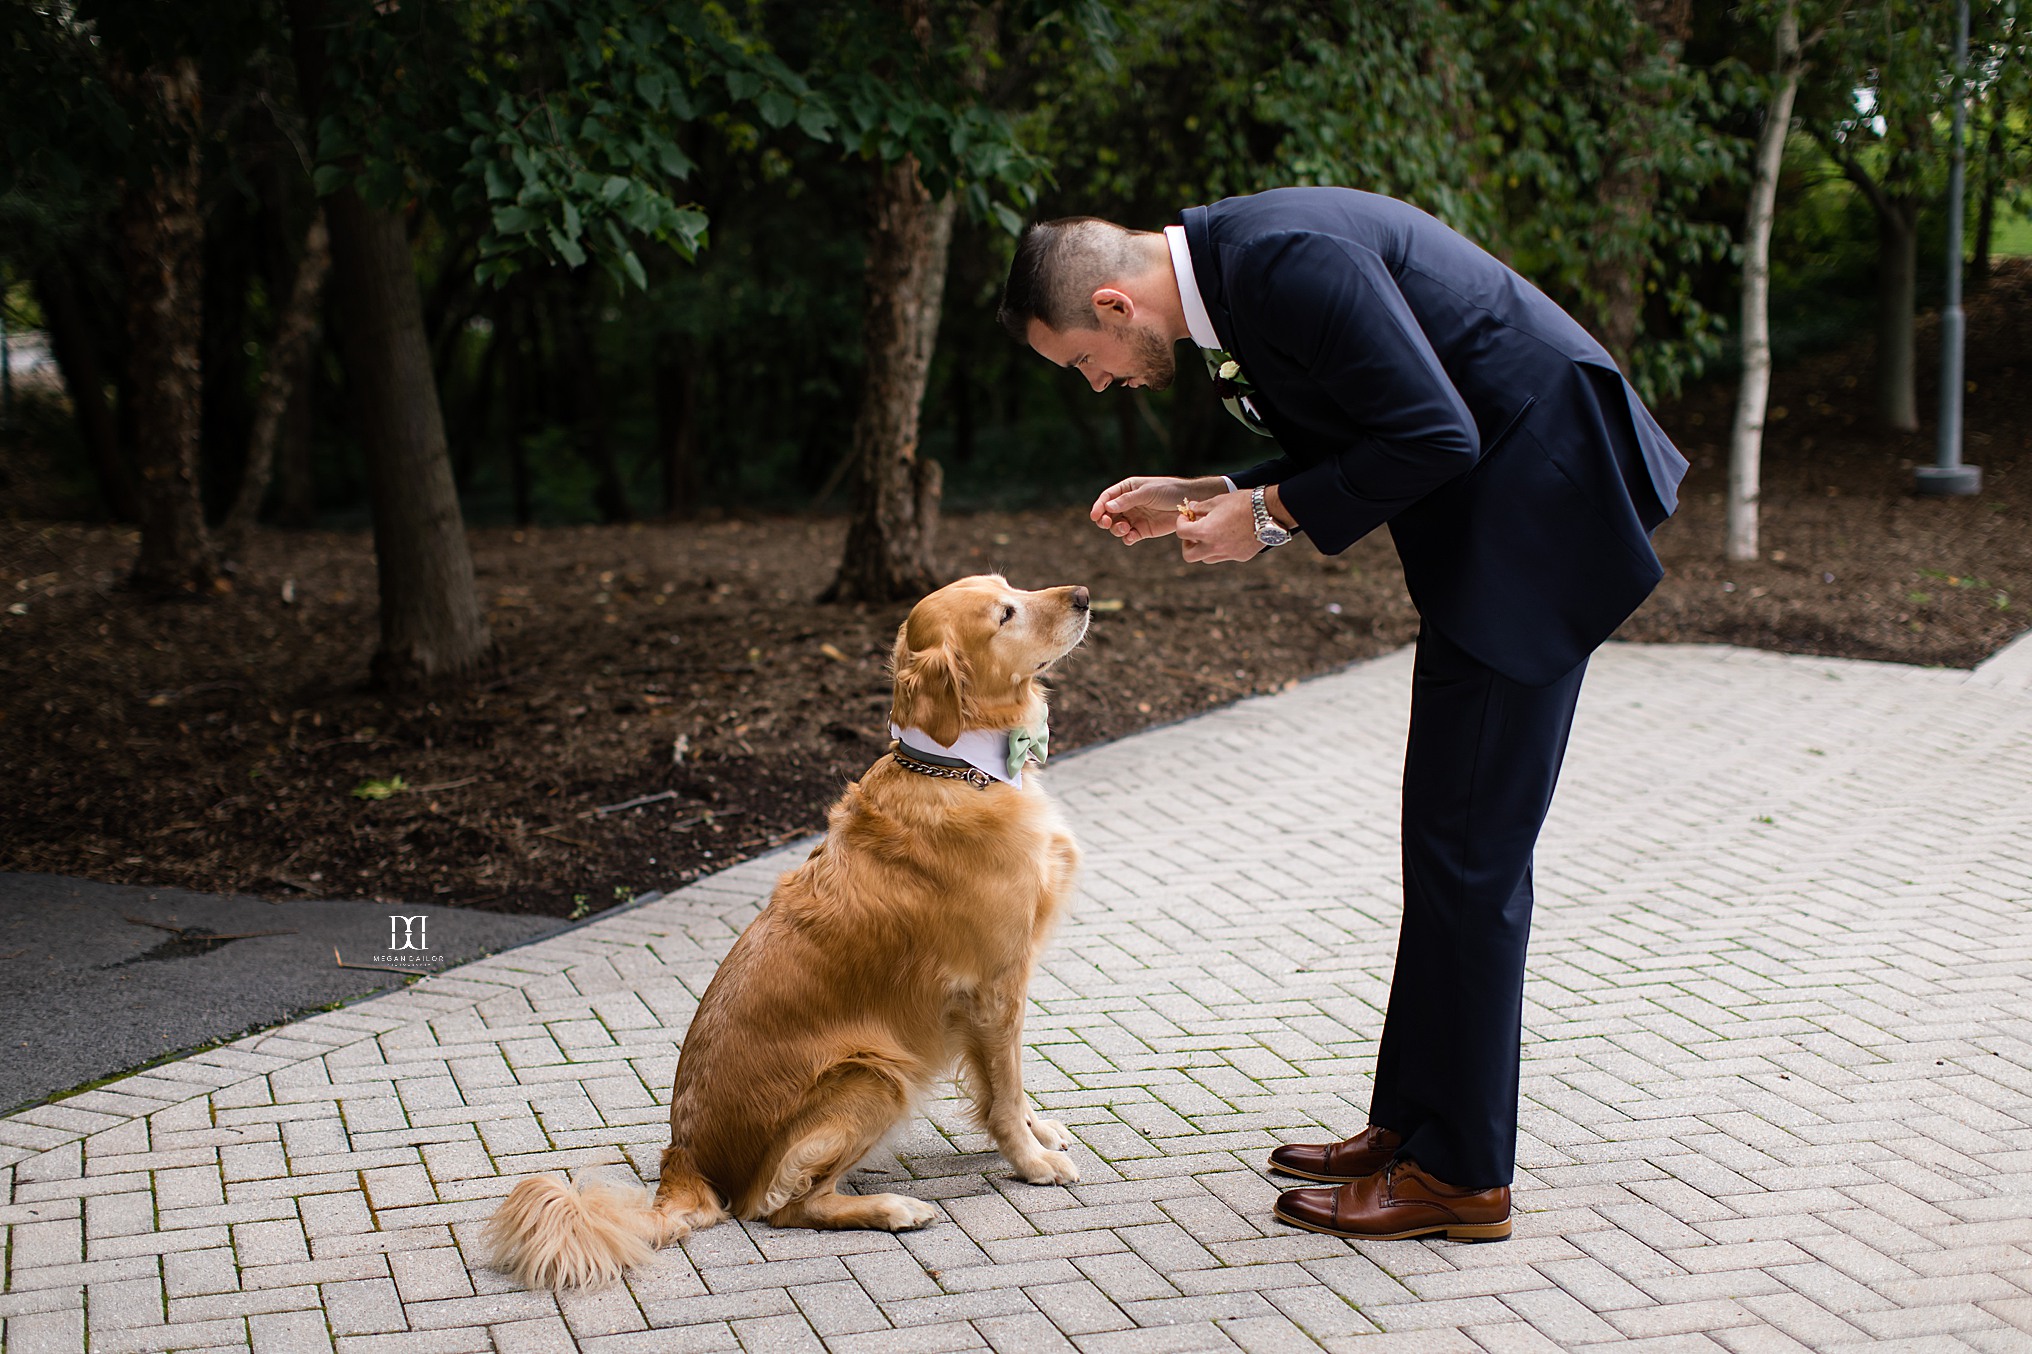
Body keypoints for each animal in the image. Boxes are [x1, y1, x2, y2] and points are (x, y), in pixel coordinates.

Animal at [489, 573, 1089, 1284]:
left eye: (1010, 585)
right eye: (1005, 614)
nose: (1084, 595)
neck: (958, 769)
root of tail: (683, 1159)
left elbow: (1007, 1086)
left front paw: (1039, 1133)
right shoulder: (995, 985)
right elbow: (1005, 1088)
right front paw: (1032, 1161)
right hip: (875, 1071)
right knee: (777, 1206)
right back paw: (892, 1208)